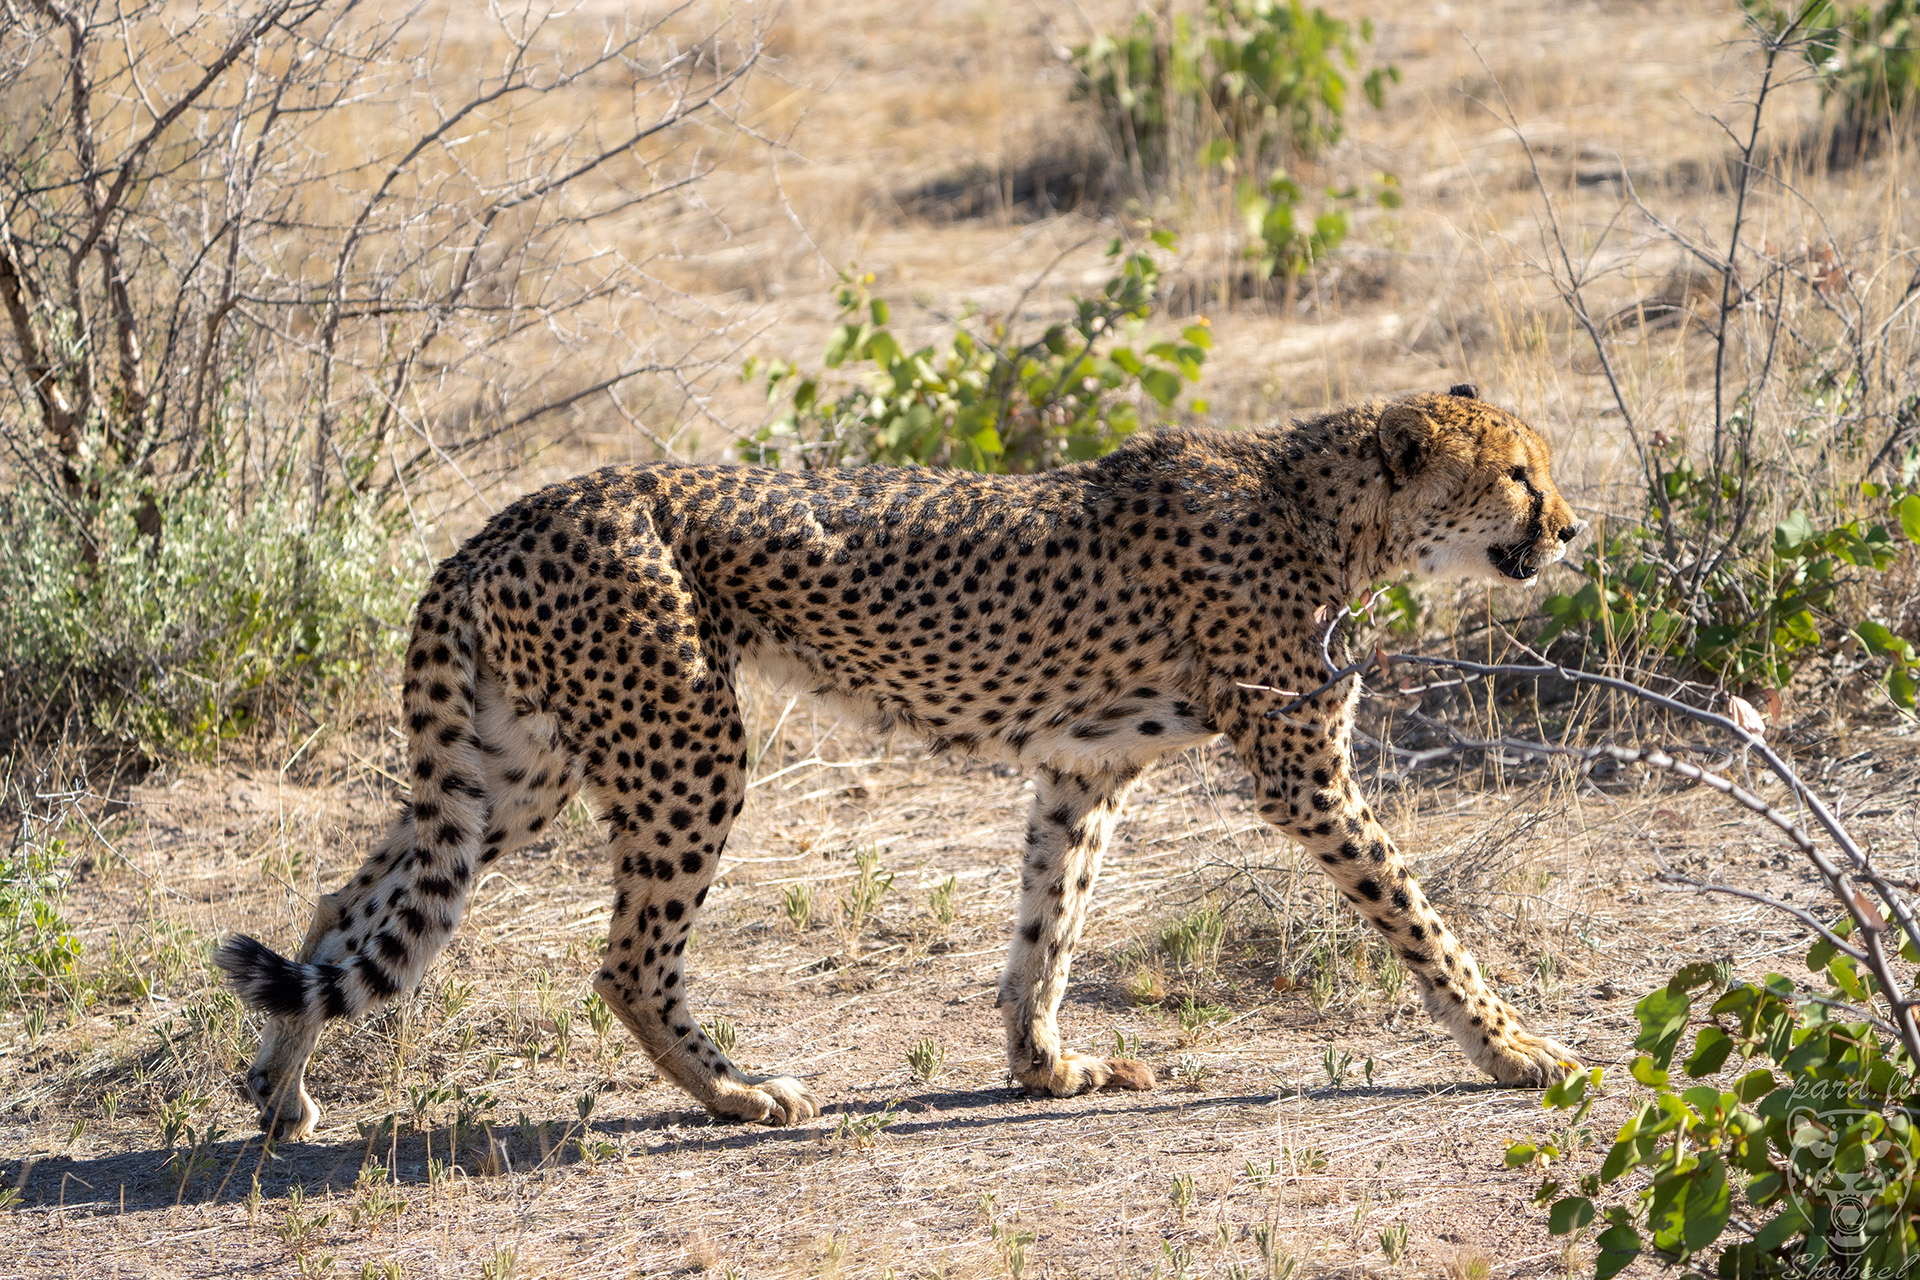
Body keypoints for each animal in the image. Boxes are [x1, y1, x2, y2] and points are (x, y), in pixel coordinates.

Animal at [214, 385, 1589, 1136]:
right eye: (1518, 474)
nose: (1573, 528)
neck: (1324, 510)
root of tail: (517, 511)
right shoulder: (1306, 776)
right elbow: (1424, 917)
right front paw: (1517, 1048)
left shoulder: (1082, 769)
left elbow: (1049, 925)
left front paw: (1048, 1067)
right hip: (688, 745)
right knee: (626, 961)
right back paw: (739, 1096)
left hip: (516, 768)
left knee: (347, 903)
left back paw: (281, 1091)